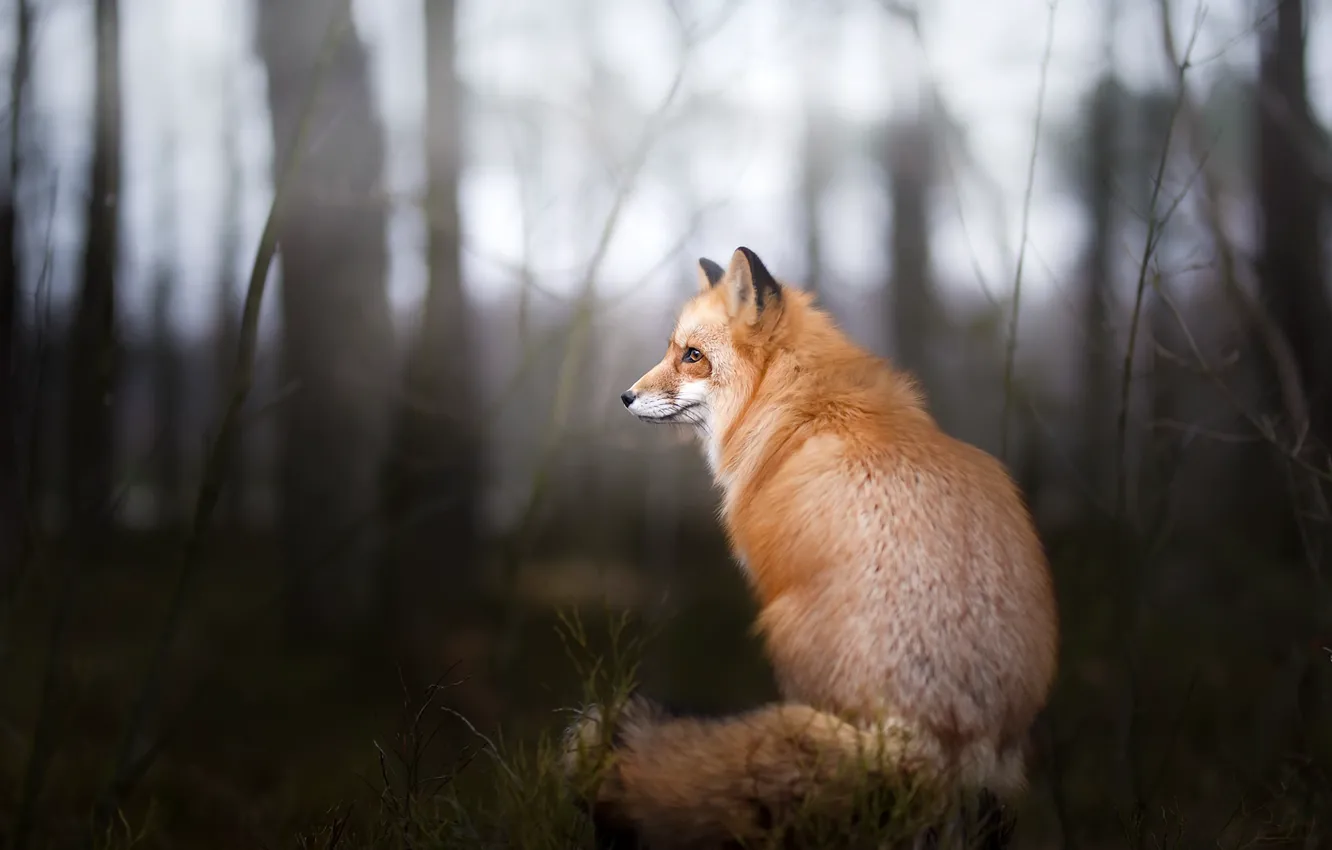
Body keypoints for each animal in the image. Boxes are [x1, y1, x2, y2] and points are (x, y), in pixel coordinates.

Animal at [564, 247, 1059, 849]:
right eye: (674, 351)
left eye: (692, 356)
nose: (626, 396)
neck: (802, 405)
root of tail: (942, 725)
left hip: (785, 634)